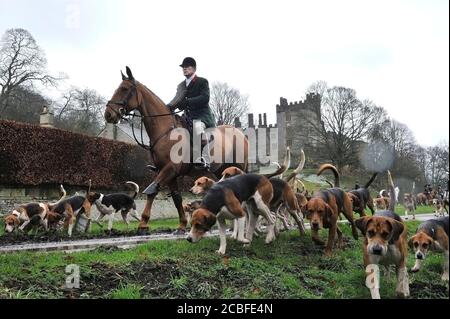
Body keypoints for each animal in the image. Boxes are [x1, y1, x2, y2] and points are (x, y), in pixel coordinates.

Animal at [103, 67, 248, 235]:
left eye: (124, 89)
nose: (108, 114)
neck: (165, 131)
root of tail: (240, 133)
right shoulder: (167, 172)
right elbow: (176, 197)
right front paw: (181, 225)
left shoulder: (170, 169)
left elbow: (153, 190)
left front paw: (143, 223)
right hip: (221, 171)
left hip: (237, 167)